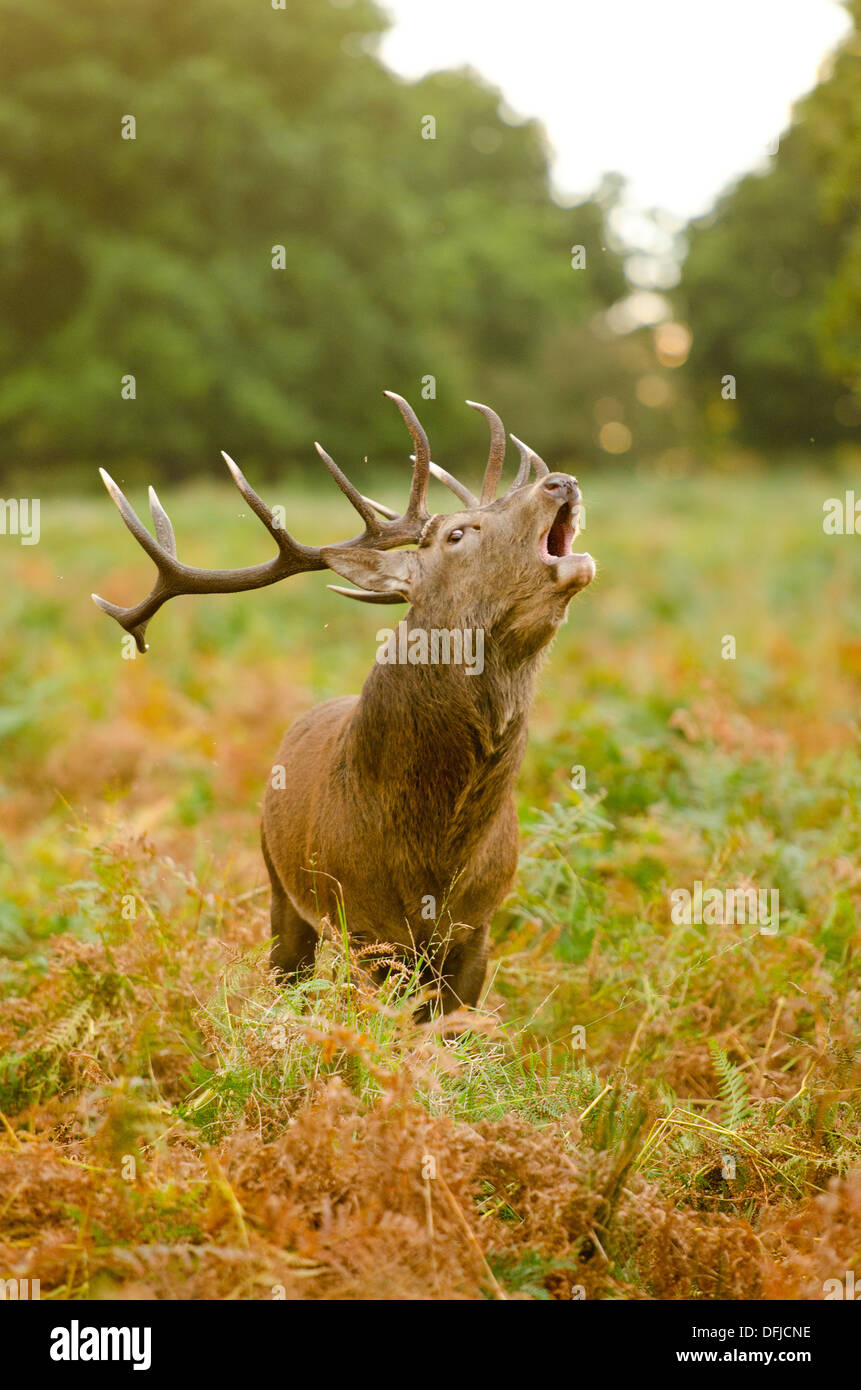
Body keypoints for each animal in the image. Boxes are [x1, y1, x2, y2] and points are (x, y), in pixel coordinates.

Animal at [93, 392, 595, 1017]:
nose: (561, 481)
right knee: (287, 973)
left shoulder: (478, 924)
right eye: (458, 534)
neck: (436, 847)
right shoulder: (365, 927)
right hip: (278, 881)